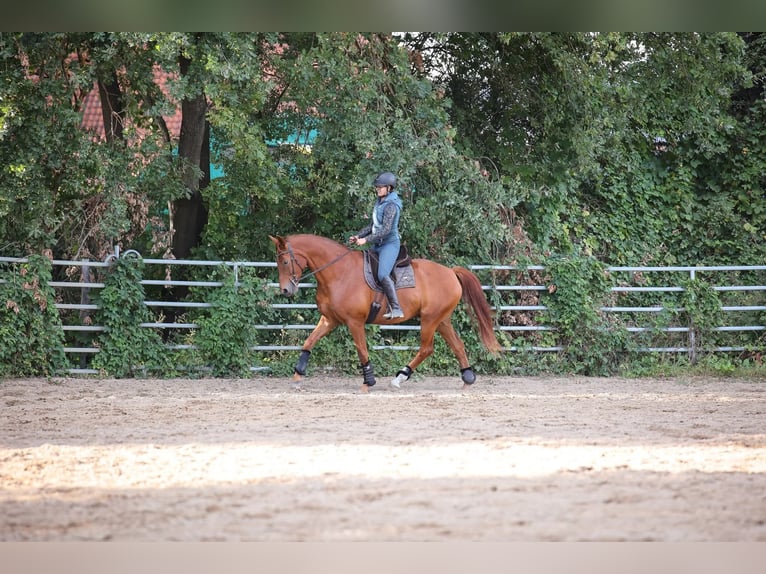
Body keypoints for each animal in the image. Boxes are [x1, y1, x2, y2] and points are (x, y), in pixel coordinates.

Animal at [269, 234, 502, 392]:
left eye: (285, 261)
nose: (286, 290)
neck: (339, 272)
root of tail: (451, 272)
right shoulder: (330, 320)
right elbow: (310, 341)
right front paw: (298, 374)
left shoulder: (355, 322)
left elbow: (362, 350)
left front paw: (368, 382)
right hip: (442, 320)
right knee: (457, 345)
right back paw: (467, 379)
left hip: (430, 319)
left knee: (427, 348)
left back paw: (400, 377)